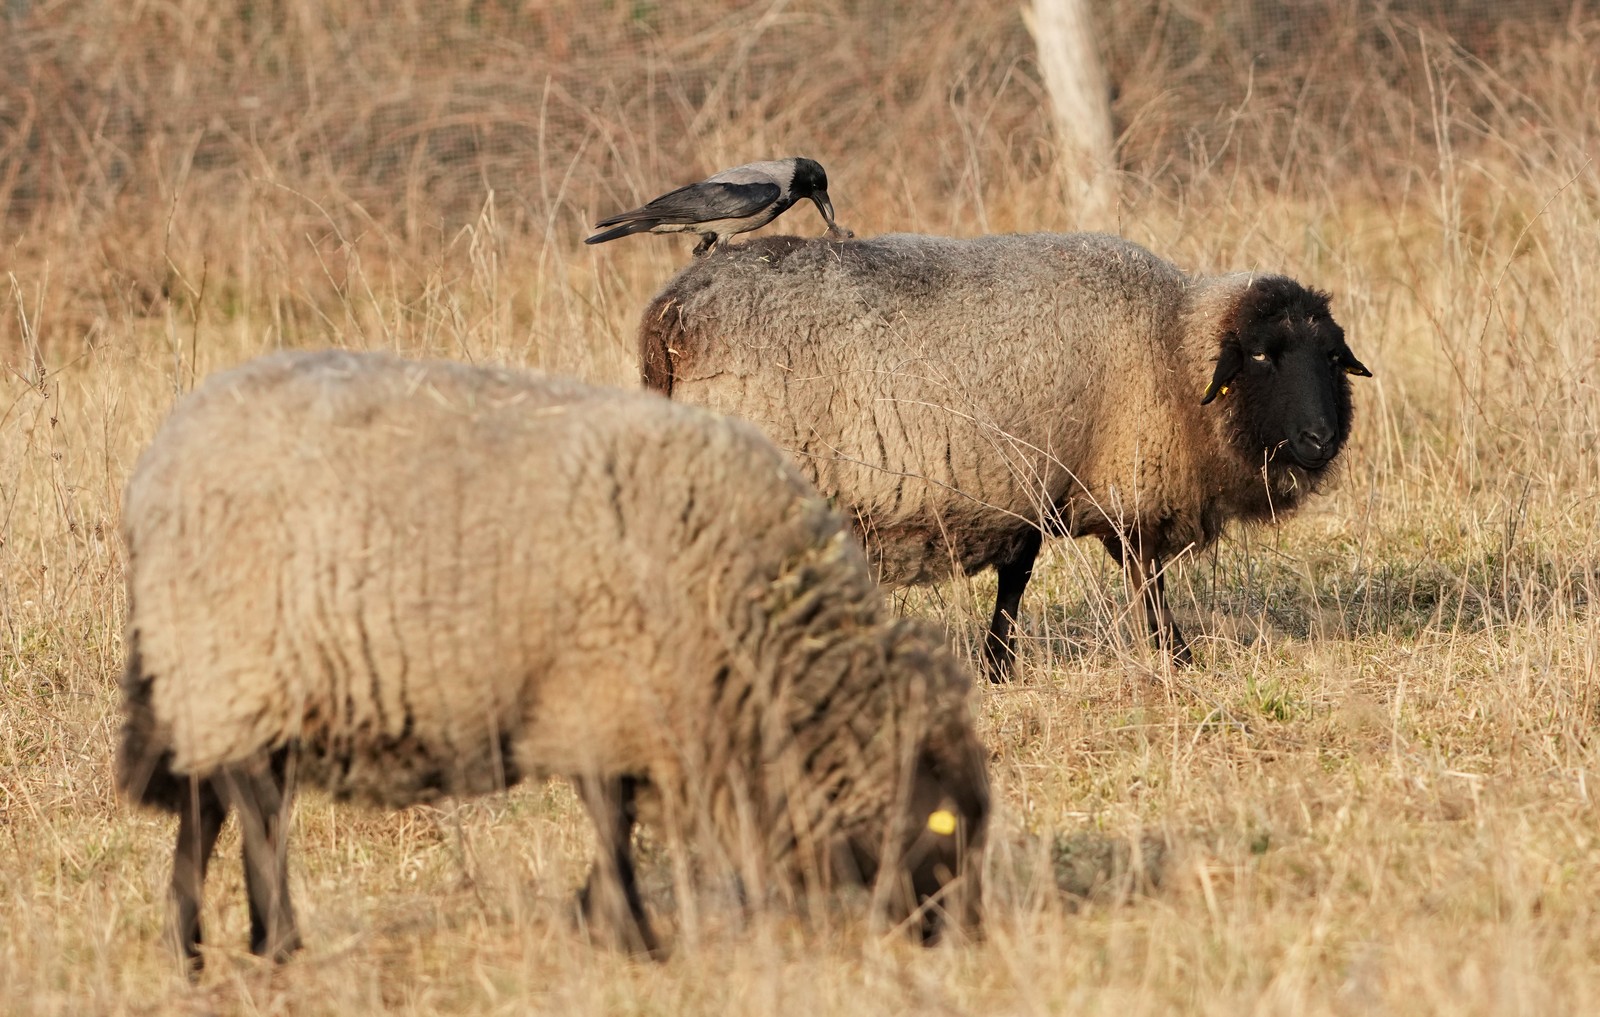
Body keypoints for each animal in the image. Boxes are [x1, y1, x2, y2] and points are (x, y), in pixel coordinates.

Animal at [115, 349, 989, 970]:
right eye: (943, 817)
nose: (967, 941)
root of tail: (158, 464)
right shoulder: (607, 691)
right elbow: (611, 818)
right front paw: (633, 937)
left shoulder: (624, 709)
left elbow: (617, 816)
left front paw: (597, 916)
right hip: (233, 659)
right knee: (250, 805)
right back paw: (277, 943)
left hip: (227, 677)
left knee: (210, 803)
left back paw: (199, 949)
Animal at [638, 232, 1372, 677]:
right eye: (1262, 357)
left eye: (1333, 358)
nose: (1319, 439)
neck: (1169, 344)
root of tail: (670, 313)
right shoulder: (1120, 484)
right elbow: (1145, 580)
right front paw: (1180, 656)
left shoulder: (1031, 485)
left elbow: (1016, 579)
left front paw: (996, 665)